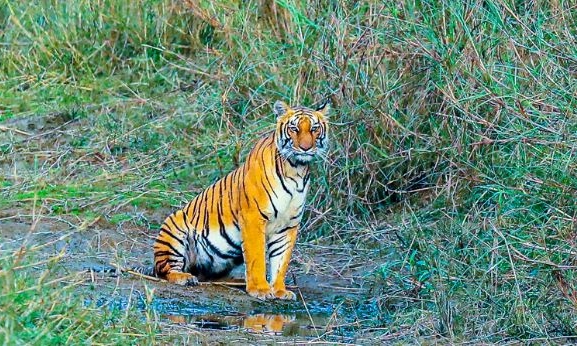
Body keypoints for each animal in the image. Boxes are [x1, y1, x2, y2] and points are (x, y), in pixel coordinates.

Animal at [141, 100, 326, 300]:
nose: (306, 148)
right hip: (174, 226)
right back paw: (185, 277)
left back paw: (236, 281)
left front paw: (279, 290)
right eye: (294, 128)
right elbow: (257, 257)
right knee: (167, 270)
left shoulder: (288, 226)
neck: (296, 169)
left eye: (314, 129)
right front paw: (261, 289)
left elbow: (280, 262)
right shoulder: (253, 218)